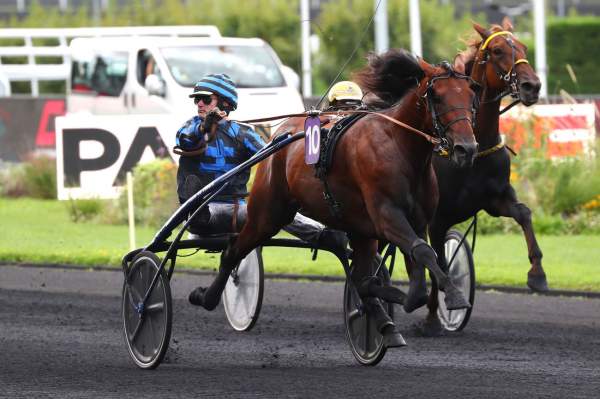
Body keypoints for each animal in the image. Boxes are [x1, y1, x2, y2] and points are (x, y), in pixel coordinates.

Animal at [191, 50, 478, 348]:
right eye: (438, 96)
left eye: (471, 94)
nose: (466, 148)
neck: (399, 146)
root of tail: (280, 134)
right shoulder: (387, 215)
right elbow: (420, 254)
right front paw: (454, 295)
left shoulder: (416, 221)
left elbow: (418, 274)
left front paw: (402, 295)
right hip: (267, 213)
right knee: (233, 249)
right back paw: (207, 297)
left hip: (357, 229)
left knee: (359, 272)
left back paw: (384, 321)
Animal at [420, 19, 548, 338]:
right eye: (498, 50)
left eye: (523, 47)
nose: (532, 85)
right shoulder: (436, 218)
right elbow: (436, 263)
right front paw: (432, 318)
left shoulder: (494, 199)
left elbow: (523, 213)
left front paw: (537, 274)